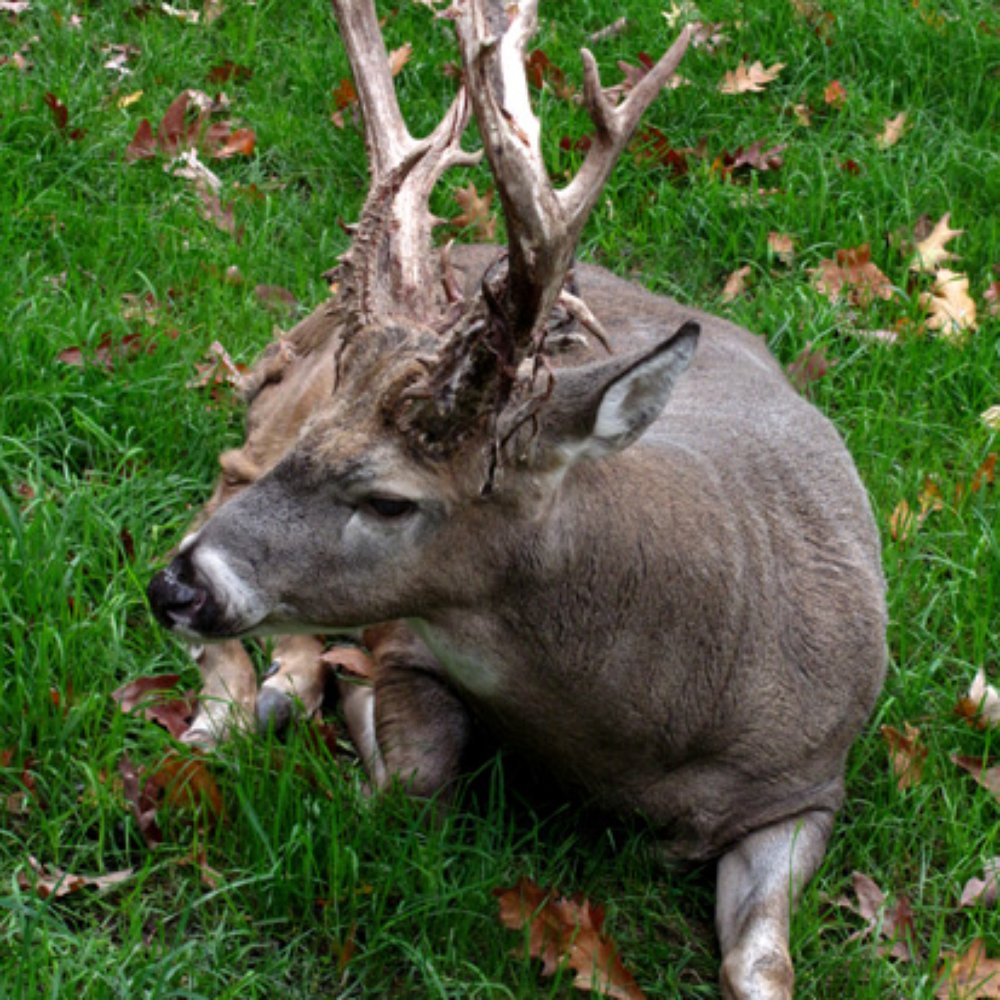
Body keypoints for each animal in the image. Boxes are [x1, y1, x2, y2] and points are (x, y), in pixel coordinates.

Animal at [147, 1, 888, 995]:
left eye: (392, 502)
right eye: (326, 449)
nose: (178, 588)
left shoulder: (809, 783)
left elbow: (763, 960)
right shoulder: (409, 641)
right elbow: (412, 779)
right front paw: (353, 736)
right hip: (269, 424)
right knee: (226, 490)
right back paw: (230, 717)